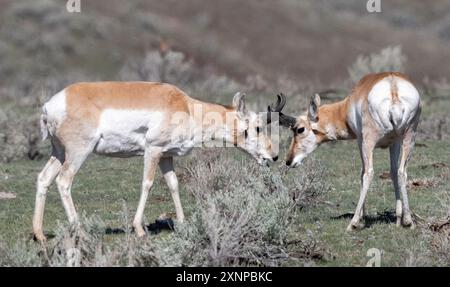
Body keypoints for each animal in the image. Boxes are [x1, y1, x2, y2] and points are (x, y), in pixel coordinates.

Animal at [32, 82, 278, 242]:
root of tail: (51, 105)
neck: (186, 107)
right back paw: (81, 232)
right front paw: (139, 229)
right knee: (63, 181)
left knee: (44, 178)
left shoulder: (166, 156)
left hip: (59, 153)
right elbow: (147, 184)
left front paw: (182, 223)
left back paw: (40, 234)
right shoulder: (153, 150)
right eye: (257, 127)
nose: (273, 156)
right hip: (78, 153)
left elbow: (173, 184)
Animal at [270, 72, 422, 232]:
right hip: (409, 138)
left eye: (300, 129)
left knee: (369, 173)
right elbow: (393, 172)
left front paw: (361, 217)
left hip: (369, 142)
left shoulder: (361, 141)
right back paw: (409, 221)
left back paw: (352, 224)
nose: (289, 160)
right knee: (401, 172)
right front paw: (398, 220)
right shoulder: (395, 143)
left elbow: (362, 173)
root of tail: (393, 86)